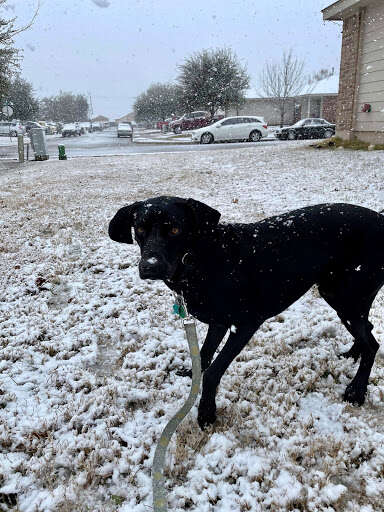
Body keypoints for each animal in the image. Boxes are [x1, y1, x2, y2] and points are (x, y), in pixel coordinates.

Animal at [109, 198, 384, 430]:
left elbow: (213, 371)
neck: (202, 259)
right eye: (140, 229)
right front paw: (192, 374)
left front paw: (206, 413)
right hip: (344, 296)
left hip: (345, 296)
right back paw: (352, 355)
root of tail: (380, 219)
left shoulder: (246, 324)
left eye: (175, 230)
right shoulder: (219, 322)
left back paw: (357, 391)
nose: (149, 267)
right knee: (367, 330)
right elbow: (205, 354)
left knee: (372, 343)